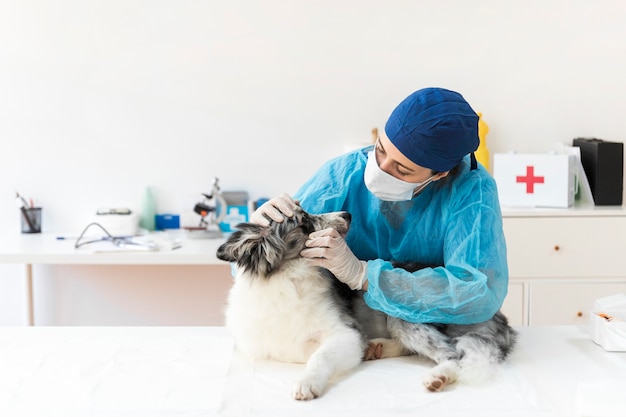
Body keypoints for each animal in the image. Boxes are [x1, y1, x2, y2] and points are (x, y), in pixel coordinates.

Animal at [216, 207, 516, 400]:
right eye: (304, 222)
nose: (347, 214)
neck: (291, 279)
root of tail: (498, 317)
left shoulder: (346, 334)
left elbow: (319, 356)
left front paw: (306, 383)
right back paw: (377, 348)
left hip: (404, 314)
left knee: (452, 354)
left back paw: (436, 376)